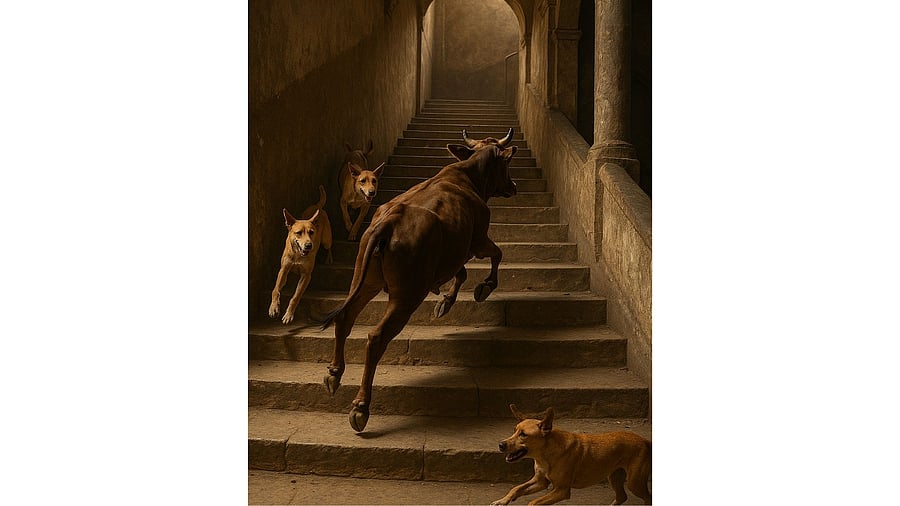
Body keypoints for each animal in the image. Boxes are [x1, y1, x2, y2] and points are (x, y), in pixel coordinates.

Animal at [320, 128, 518, 432]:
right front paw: (484, 287)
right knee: (376, 337)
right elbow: (497, 254)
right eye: (506, 164)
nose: (514, 185)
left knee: (344, 318)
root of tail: (387, 222)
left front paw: (445, 302)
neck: (468, 175)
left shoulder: (452, 254)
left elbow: (461, 273)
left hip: (364, 281)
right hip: (407, 296)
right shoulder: (477, 240)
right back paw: (361, 406)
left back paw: (334, 373)